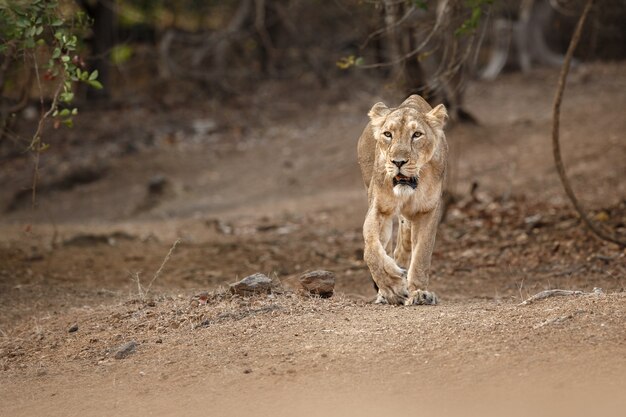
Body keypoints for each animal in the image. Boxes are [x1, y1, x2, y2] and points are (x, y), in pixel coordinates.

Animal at [356, 94, 444, 304]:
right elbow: (371, 248)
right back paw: (384, 292)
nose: (398, 162)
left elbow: (422, 254)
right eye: (388, 134)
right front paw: (391, 287)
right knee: (387, 248)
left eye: (417, 134)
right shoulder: (379, 208)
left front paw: (419, 292)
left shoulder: (428, 210)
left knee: (402, 248)